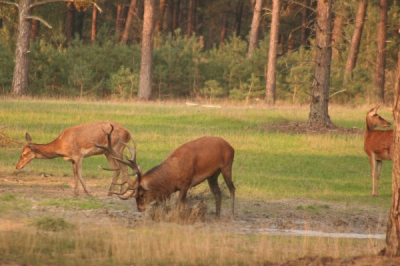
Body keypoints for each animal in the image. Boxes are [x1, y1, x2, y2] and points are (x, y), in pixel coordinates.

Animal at [95, 130, 234, 217]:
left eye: (142, 195)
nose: (140, 209)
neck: (174, 173)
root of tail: (231, 147)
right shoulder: (169, 190)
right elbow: (165, 206)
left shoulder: (186, 182)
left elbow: (179, 205)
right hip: (212, 175)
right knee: (217, 193)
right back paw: (217, 216)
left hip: (227, 165)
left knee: (232, 188)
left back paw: (232, 213)